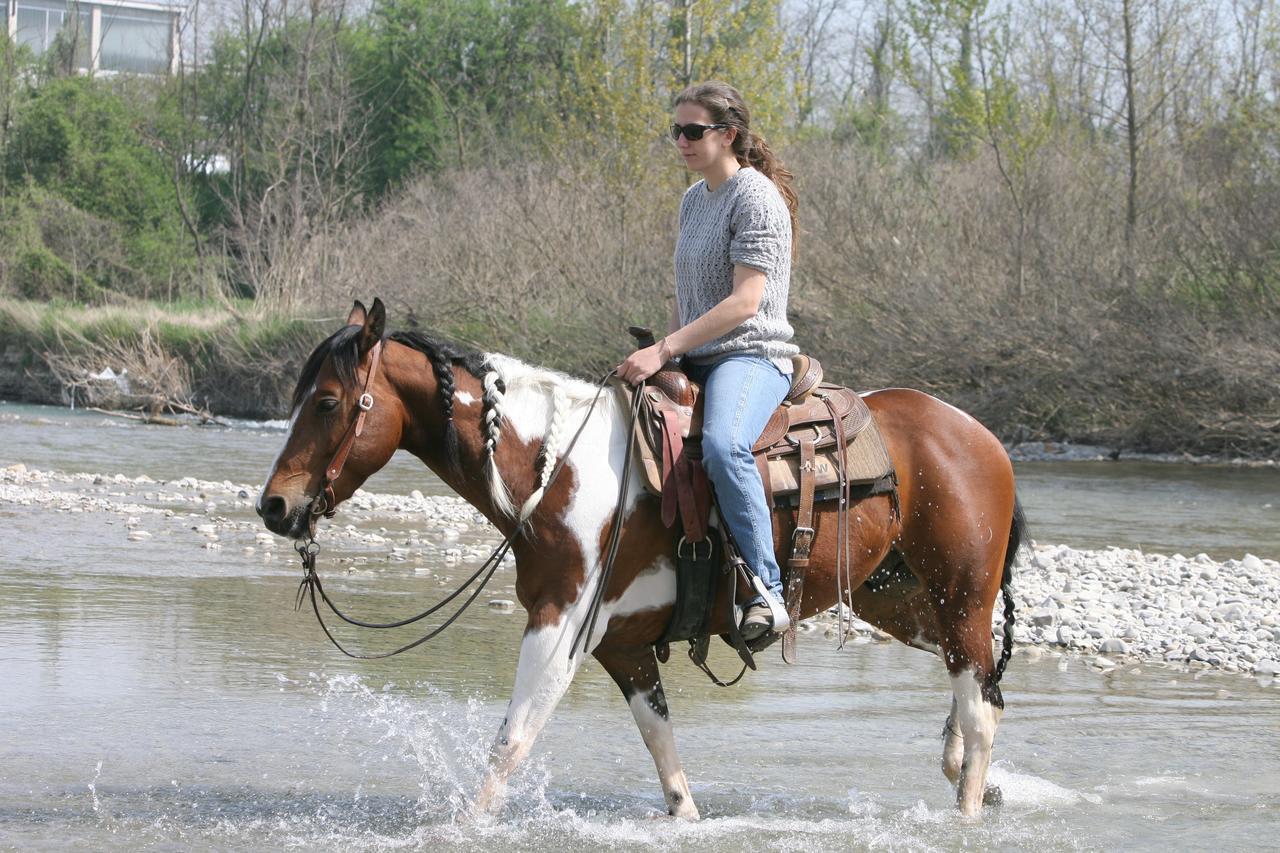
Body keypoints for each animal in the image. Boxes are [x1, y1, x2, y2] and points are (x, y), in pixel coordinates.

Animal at [257, 297, 1018, 809]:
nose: (275, 506)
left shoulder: (560, 625)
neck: (555, 469)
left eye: (328, 401)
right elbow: (667, 765)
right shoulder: (621, 646)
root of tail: (980, 434)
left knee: (981, 706)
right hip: (902, 600)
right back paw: (960, 766)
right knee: (977, 686)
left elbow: (510, 743)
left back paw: (967, 808)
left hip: (961, 593)